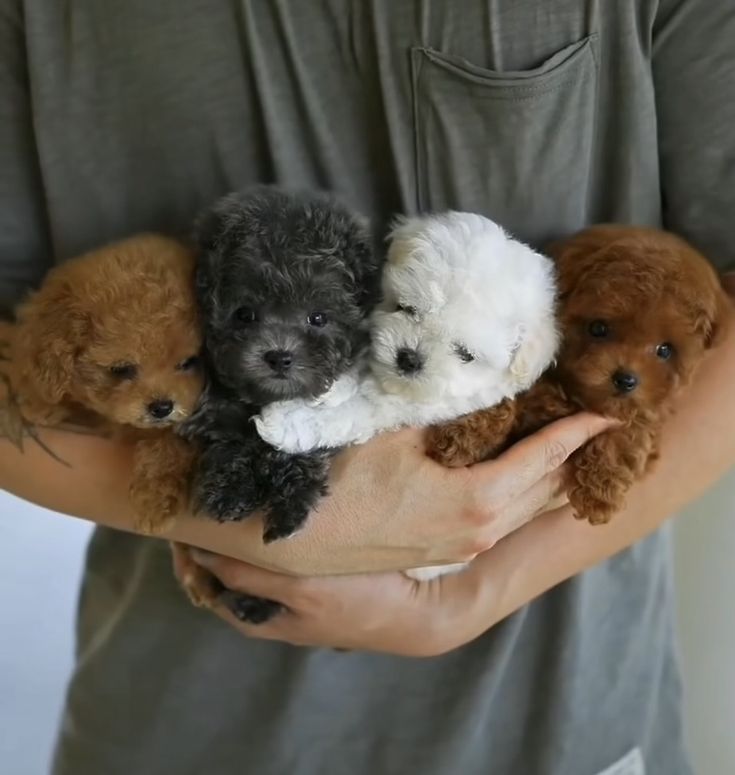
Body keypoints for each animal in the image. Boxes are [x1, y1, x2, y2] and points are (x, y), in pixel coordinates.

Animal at [179, 185, 382, 620]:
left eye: (318, 318)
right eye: (245, 314)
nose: (279, 356)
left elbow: (302, 447)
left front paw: (289, 502)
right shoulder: (216, 409)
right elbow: (229, 438)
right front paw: (229, 487)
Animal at [256, 209, 560, 580]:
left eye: (465, 354)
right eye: (407, 308)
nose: (409, 358)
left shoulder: (417, 407)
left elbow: (359, 410)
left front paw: (286, 421)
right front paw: (335, 385)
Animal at [428, 224, 732, 528]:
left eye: (665, 350)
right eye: (598, 328)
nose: (626, 380)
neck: (572, 392)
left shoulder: (643, 418)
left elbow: (629, 435)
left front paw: (601, 492)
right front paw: (463, 436)